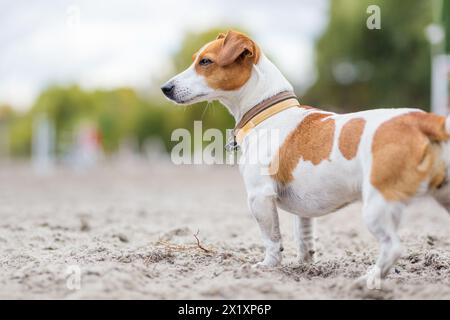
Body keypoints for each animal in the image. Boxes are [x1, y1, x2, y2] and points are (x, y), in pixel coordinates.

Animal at [163, 29, 450, 280]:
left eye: (205, 61)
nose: (165, 88)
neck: (267, 111)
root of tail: (423, 119)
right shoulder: (303, 211)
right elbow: (304, 238)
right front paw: (305, 265)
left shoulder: (259, 196)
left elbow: (272, 239)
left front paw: (267, 266)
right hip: (442, 194)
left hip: (378, 204)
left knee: (393, 248)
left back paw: (368, 279)